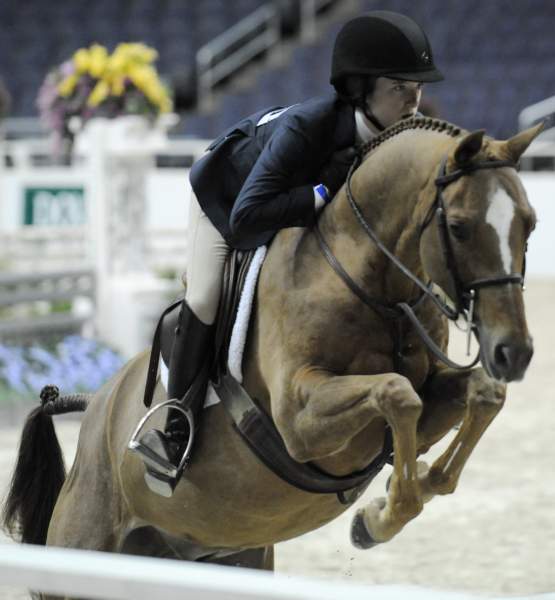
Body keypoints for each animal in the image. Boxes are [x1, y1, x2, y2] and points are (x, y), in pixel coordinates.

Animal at [2, 117, 540, 600]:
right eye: (460, 228)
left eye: (529, 223)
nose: (512, 352)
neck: (372, 283)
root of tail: (94, 404)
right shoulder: (299, 422)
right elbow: (396, 393)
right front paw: (379, 518)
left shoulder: (426, 402)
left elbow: (479, 396)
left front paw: (391, 504)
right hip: (84, 549)